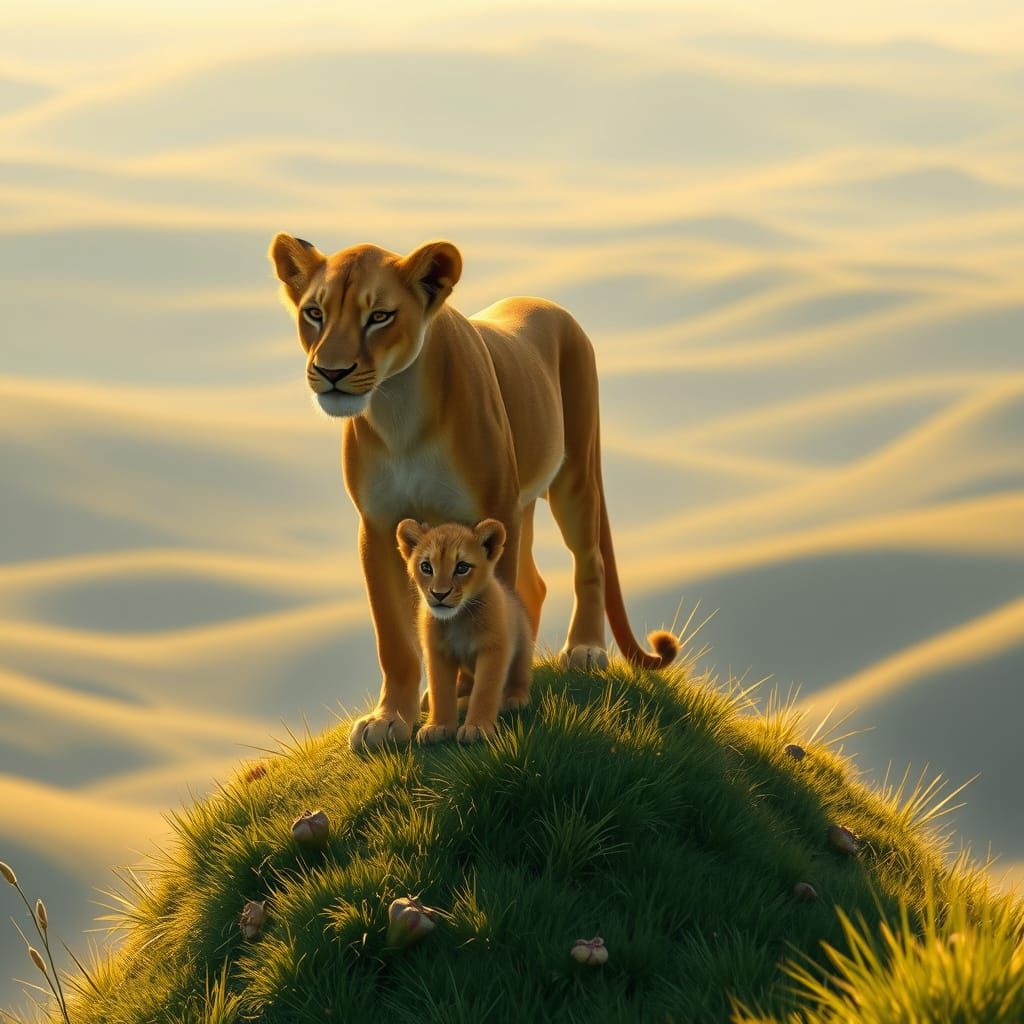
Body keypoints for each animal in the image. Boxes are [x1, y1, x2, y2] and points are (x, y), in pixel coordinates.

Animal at [397, 517, 532, 745]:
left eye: (462, 567)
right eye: (426, 566)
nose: (439, 594)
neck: (457, 619)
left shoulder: (493, 648)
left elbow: (485, 689)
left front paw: (476, 728)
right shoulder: (437, 652)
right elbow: (440, 689)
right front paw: (438, 727)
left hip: (523, 647)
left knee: (518, 675)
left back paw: (513, 699)